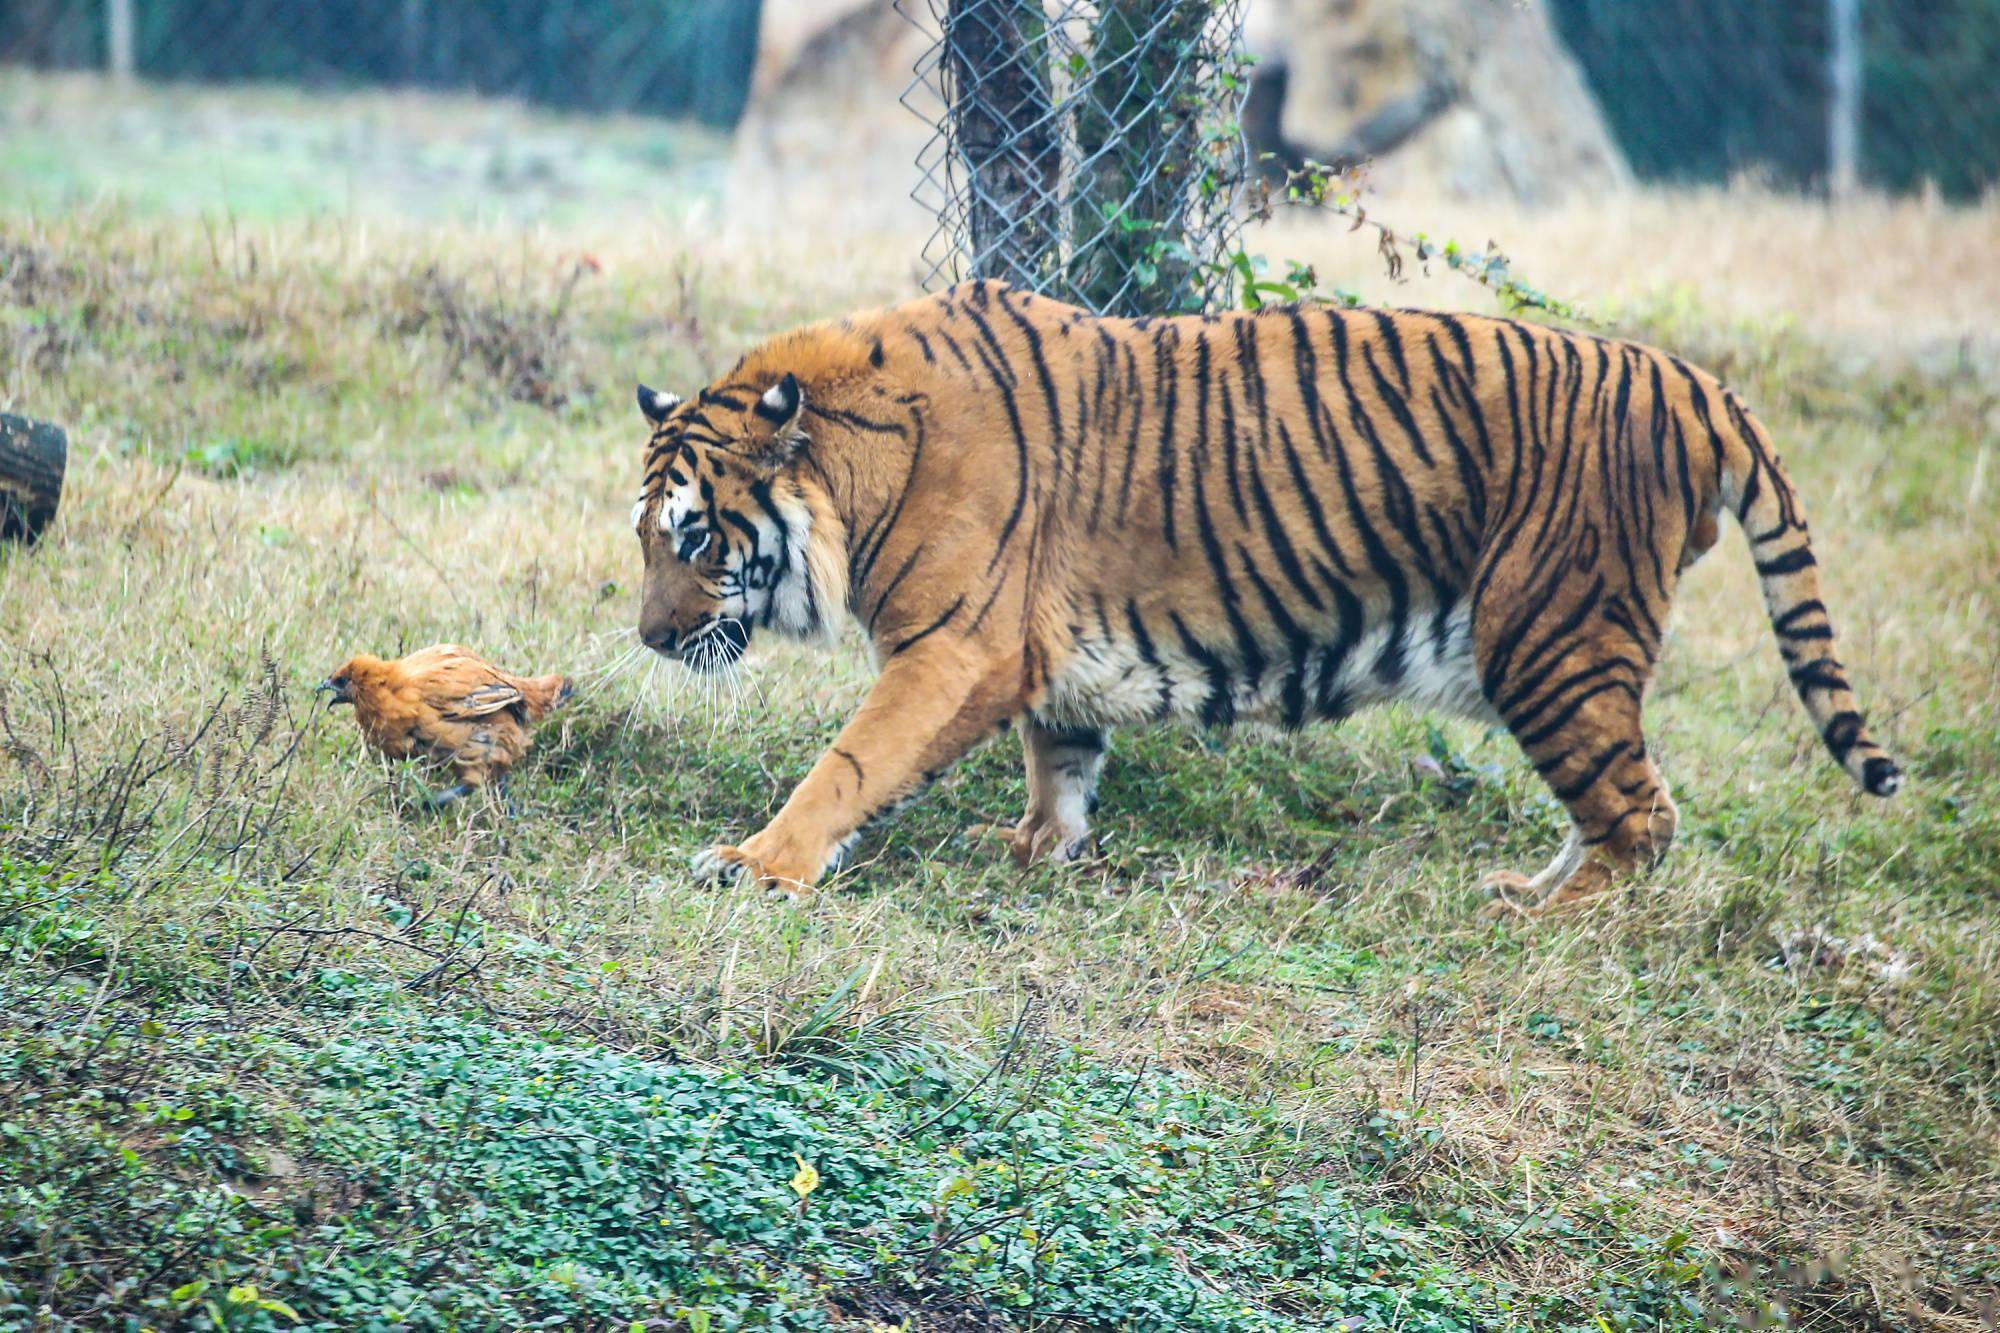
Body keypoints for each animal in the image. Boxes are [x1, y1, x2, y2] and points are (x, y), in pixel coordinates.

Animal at [632, 274, 1896, 908]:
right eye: (646, 537)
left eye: (694, 539)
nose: (646, 639)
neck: (857, 469)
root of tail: (1689, 381)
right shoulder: (1041, 653)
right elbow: (1060, 756)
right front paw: (1040, 846)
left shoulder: (954, 646)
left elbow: (851, 762)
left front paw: (759, 864)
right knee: (1621, 809)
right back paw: (1523, 884)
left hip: (1547, 638)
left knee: (1641, 816)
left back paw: (1549, 912)